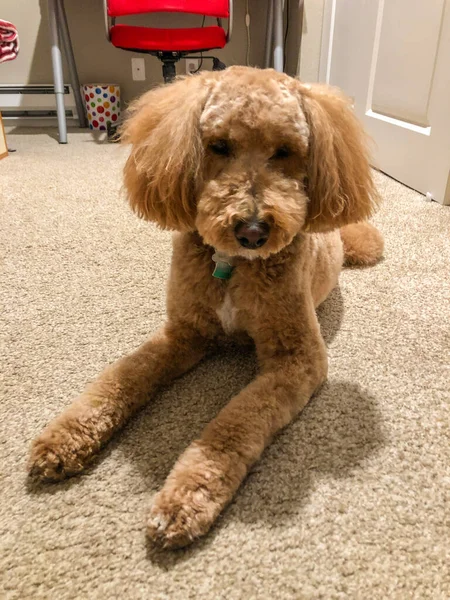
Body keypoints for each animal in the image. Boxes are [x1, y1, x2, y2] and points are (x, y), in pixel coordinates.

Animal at [28, 65, 384, 548]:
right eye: (218, 146)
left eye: (285, 151)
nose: (253, 229)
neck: (232, 267)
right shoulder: (184, 333)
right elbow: (121, 378)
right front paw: (62, 438)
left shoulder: (297, 360)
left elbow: (235, 423)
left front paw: (185, 497)